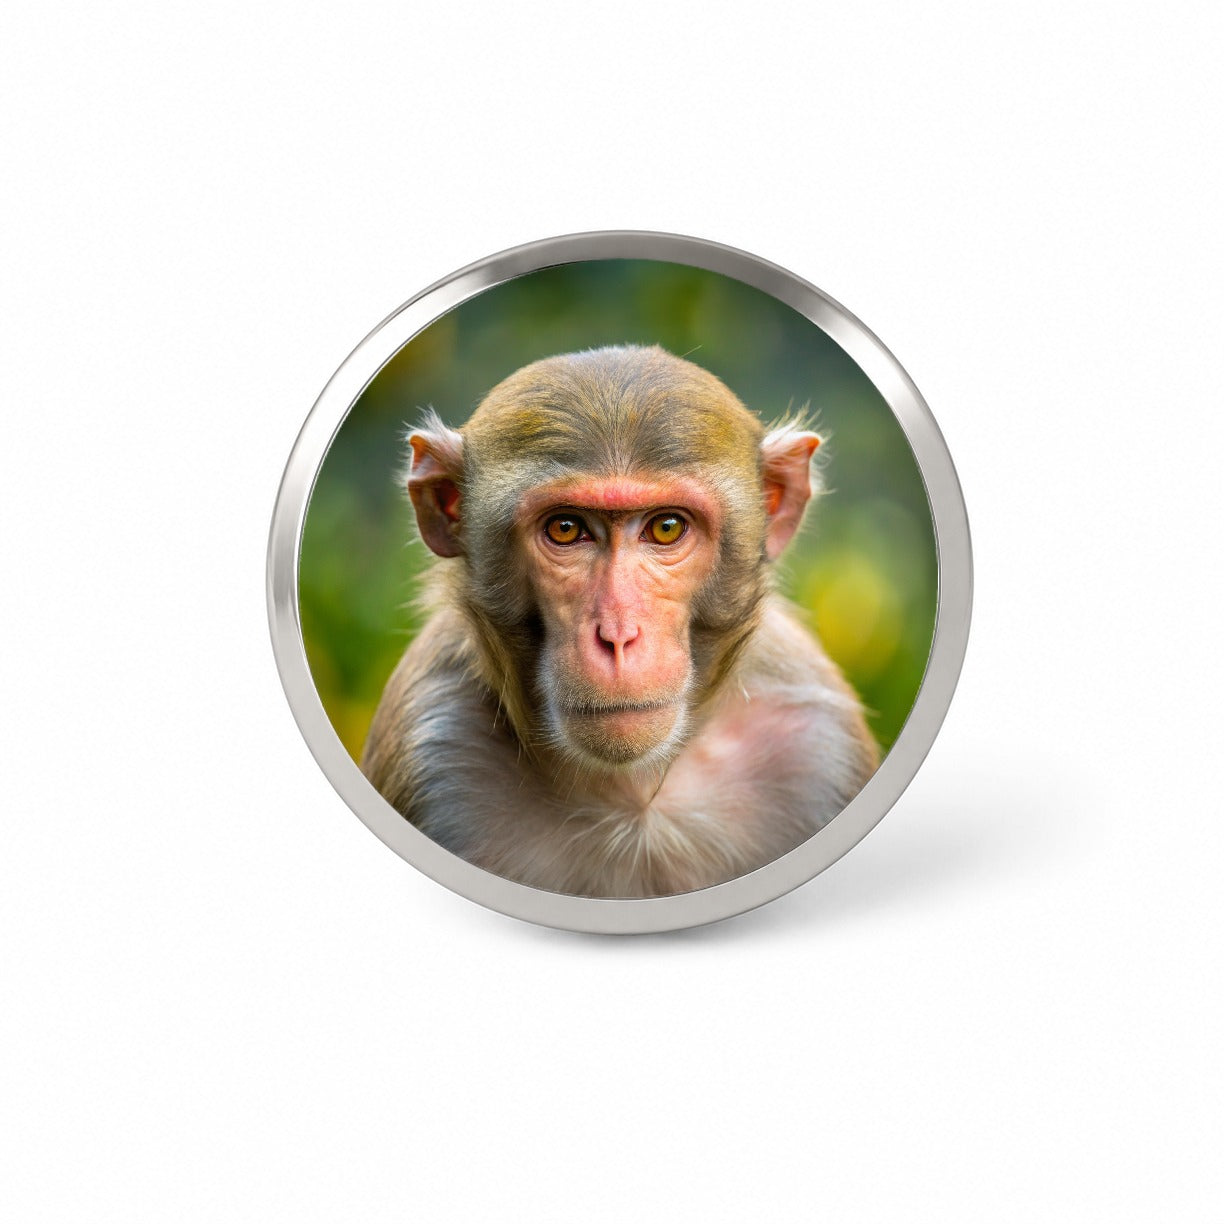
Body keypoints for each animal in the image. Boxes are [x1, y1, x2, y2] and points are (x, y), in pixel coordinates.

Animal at [361, 345, 879, 899]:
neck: (633, 792)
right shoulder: (431, 743)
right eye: (566, 529)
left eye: (666, 527)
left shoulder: (820, 743)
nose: (617, 635)